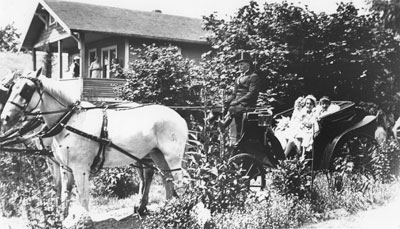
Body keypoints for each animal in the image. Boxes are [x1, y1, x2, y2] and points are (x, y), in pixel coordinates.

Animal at [0, 68, 189, 218]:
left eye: (26, 89)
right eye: (12, 88)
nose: (5, 117)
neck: (70, 121)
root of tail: (179, 117)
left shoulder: (80, 169)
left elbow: (83, 199)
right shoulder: (65, 168)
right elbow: (65, 195)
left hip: (171, 157)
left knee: (178, 182)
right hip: (156, 155)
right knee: (166, 180)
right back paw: (165, 210)